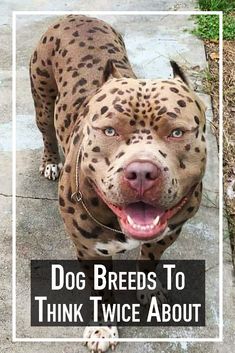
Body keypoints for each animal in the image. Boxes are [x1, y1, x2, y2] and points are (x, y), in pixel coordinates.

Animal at [29, 14, 207, 352]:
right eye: (110, 130)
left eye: (177, 132)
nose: (141, 172)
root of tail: (76, 16)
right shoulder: (89, 250)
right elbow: (101, 292)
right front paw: (102, 328)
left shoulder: (169, 231)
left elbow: (149, 262)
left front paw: (149, 290)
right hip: (42, 99)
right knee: (46, 131)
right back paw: (49, 161)